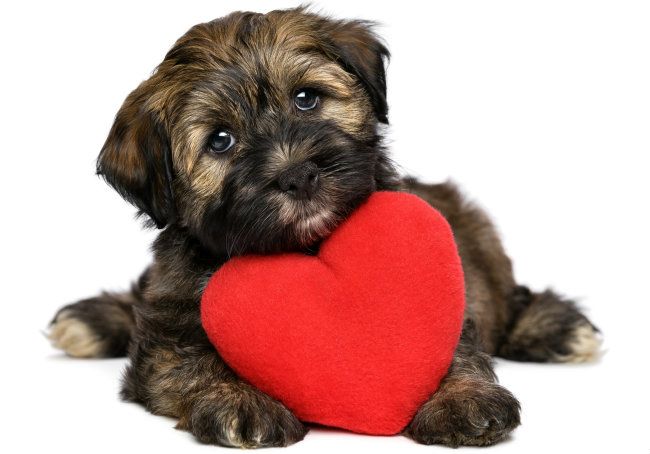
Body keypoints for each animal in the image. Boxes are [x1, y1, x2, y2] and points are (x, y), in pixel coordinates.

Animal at [48, 6, 600, 446]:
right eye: (220, 141)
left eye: (307, 99)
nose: (297, 175)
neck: (312, 250)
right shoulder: (167, 335)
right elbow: (189, 363)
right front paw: (238, 400)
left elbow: (457, 349)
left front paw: (463, 398)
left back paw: (557, 328)